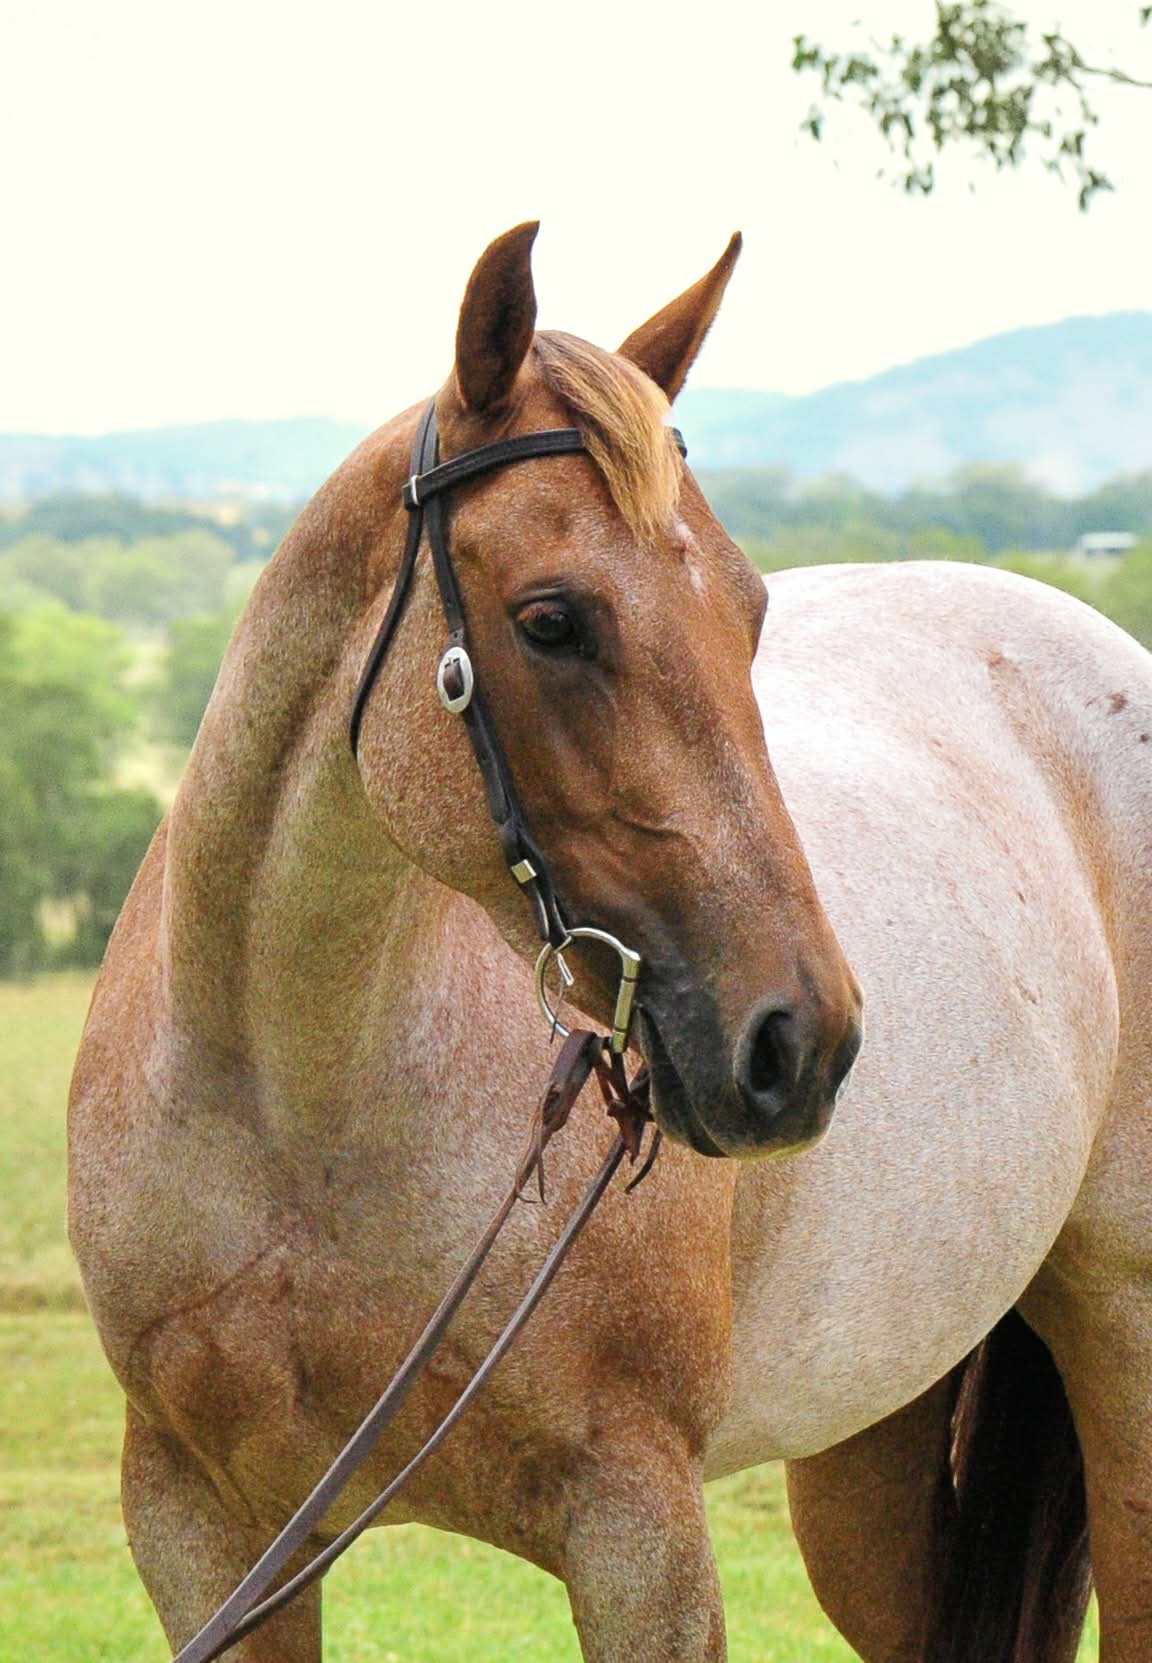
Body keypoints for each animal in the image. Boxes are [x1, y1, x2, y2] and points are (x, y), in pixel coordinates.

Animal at [68, 222, 1150, 1663]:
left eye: (752, 614)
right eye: (550, 619)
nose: (798, 1040)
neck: (291, 1114)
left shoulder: (638, 1530)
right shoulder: (203, 1526)